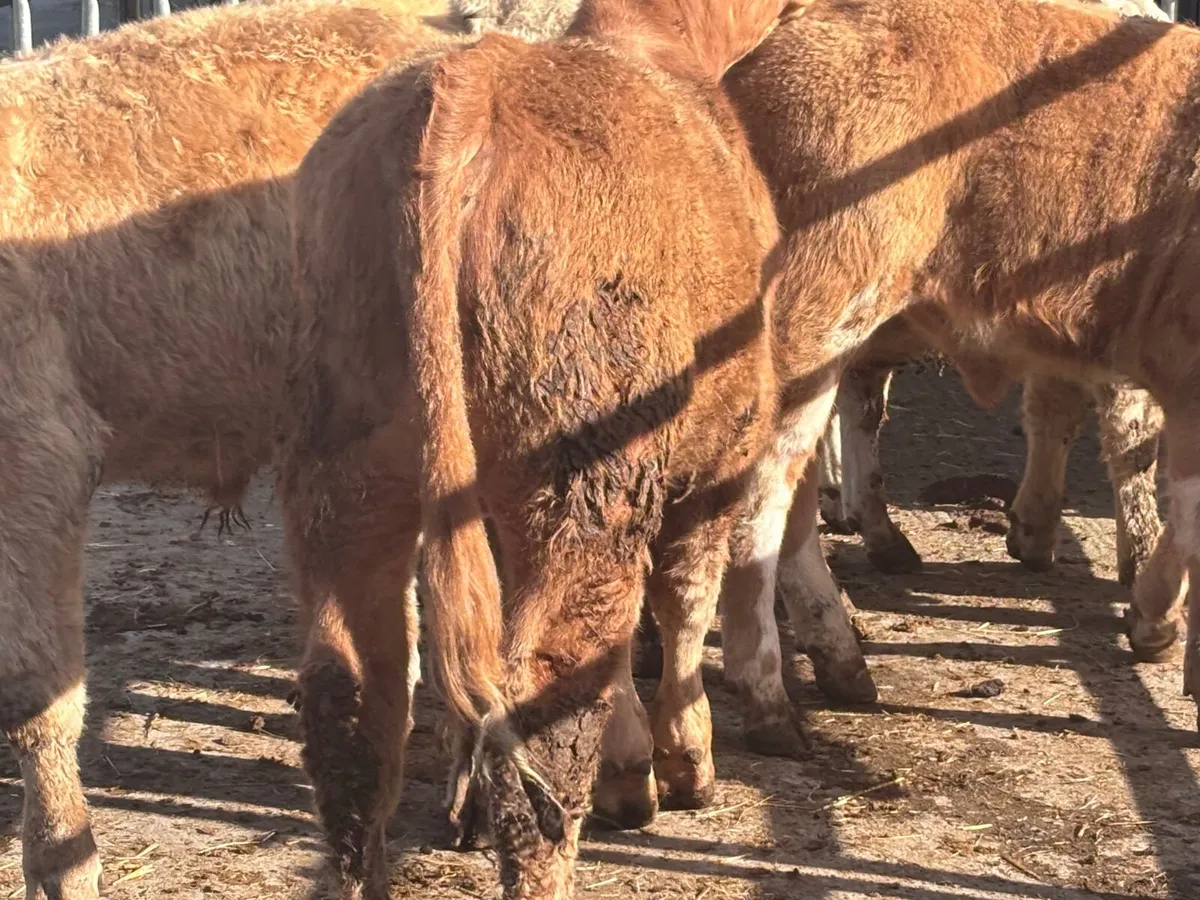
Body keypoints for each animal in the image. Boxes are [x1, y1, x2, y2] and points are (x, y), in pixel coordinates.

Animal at [280, 0, 788, 895]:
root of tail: (470, 81)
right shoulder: (722, 457)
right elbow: (684, 601)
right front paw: (677, 766)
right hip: (582, 478)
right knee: (546, 705)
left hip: (346, 461)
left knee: (354, 700)